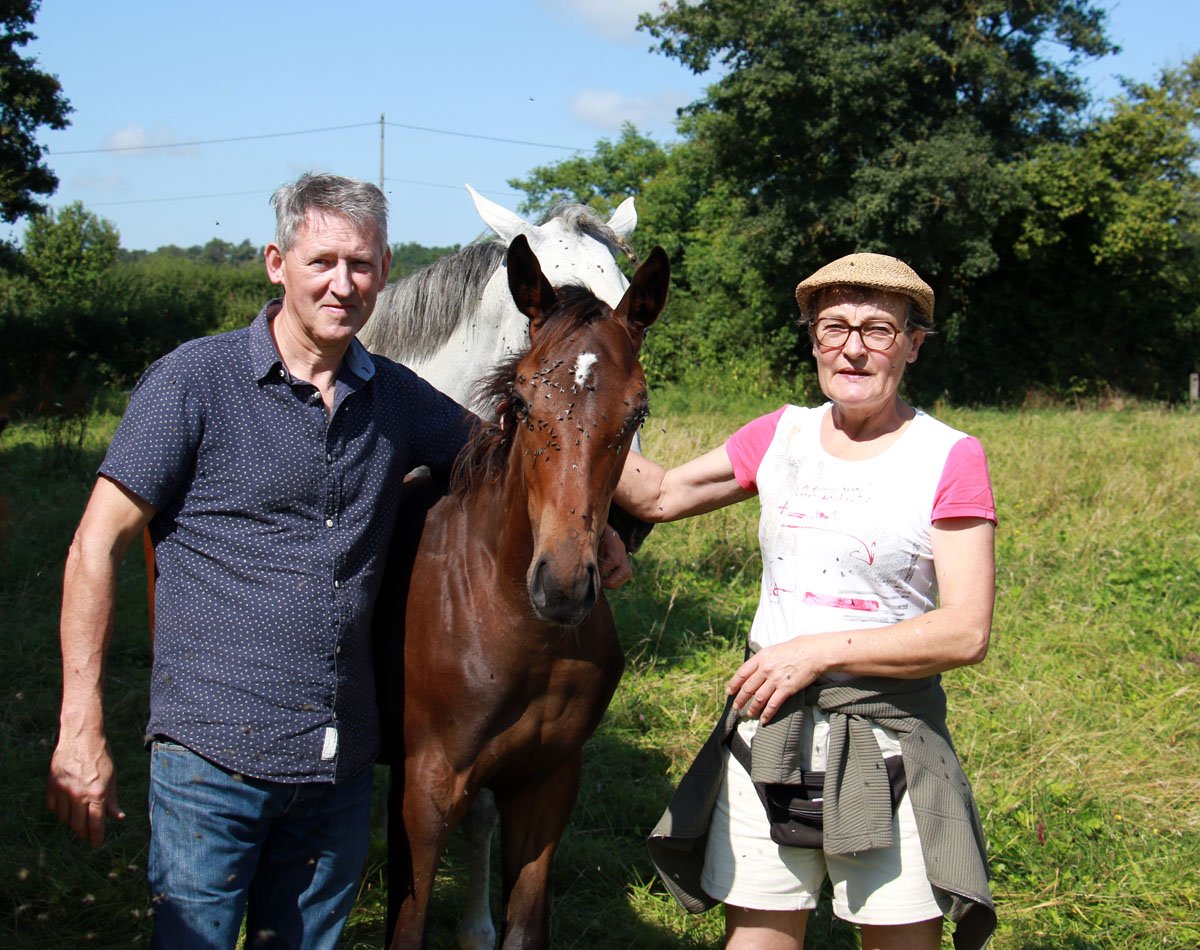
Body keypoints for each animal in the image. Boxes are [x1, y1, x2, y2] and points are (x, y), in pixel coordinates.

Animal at [376, 233, 669, 949]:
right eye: (524, 399)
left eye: (637, 410)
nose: (562, 586)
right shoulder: (427, 789)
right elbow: (407, 926)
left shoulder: (548, 783)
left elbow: (523, 929)